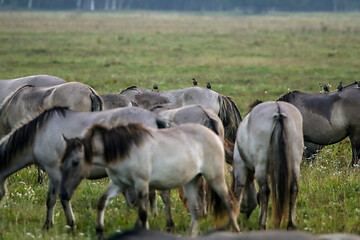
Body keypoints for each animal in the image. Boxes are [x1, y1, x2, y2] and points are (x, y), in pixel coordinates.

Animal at [0, 106, 169, 229]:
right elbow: (52, 199)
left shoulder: (55, 172)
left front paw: (68, 224)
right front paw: (49, 225)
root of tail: (154, 119)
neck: (38, 134)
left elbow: (60, 198)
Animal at [59, 122, 239, 236]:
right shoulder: (118, 184)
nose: (64, 194)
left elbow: (143, 213)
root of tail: (214, 135)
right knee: (196, 211)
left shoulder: (141, 184)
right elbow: (102, 202)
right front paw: (99, 230)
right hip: (191, 181)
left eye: (75, 162)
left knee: (229, 202)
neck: (126, 150)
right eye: (62, 163)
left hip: (215, 177)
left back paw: (236, 230)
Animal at [233, 101, 304, 229]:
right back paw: (291, 224)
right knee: (294, 188)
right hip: (295, 163)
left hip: (261, 166)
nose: (245, 214)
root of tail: (278, 111)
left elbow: (238, 190)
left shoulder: (240, 166)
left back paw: (262, 225)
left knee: (264, 191)